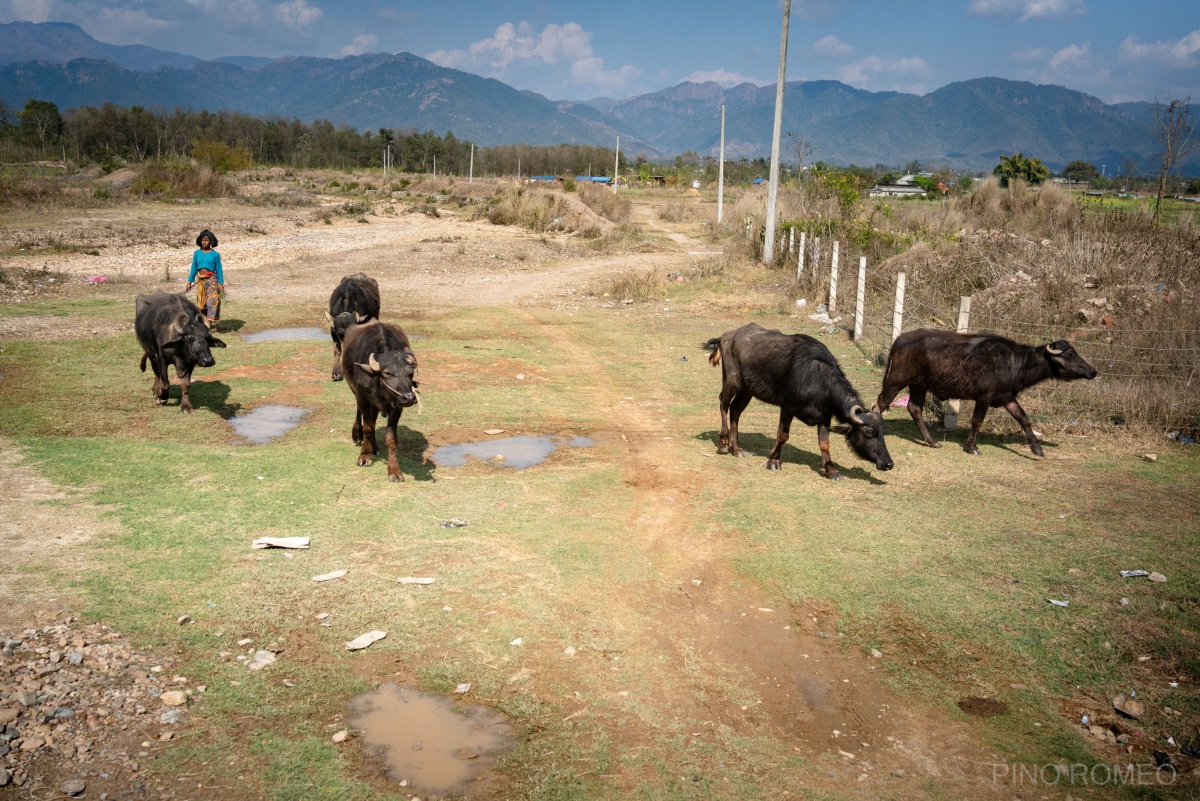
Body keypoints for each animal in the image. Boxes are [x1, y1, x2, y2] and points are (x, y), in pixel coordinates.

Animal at [343, 318, 422, 482]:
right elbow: (368, 428)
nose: (409, 398)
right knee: (362, 416)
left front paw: (394, 470)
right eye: (387, 373)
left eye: (410, 373)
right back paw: (359, 436)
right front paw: (364, 457)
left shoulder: (397, 407)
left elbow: (391, 438)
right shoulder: (365, 401)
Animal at [700, 321, 892, 479]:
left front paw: (831, 470)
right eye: (869, 432)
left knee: (735, 411)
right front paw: (774, 461)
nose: (888, 464)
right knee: (724, 404)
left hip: (747, 390)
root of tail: (726, 336)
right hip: (732, 381)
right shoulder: (787, 408)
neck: (817, 379)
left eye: (883, 431)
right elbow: (782, 435)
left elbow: (824, 444)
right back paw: (723, 443)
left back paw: (737, 448)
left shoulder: (825, 417)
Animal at [873, 328, 1099, 455]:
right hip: (897, 380)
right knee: (881, 402)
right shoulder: (984, 397)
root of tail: (900, 339)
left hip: (919, 385)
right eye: (1070, 354)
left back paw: (932, 442)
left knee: (914, 408)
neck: (1014, 363)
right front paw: (971, 447)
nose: (1093, 371)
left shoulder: (1007, 398)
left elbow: (1024, 419)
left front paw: (1037, 448)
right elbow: (977, 421)